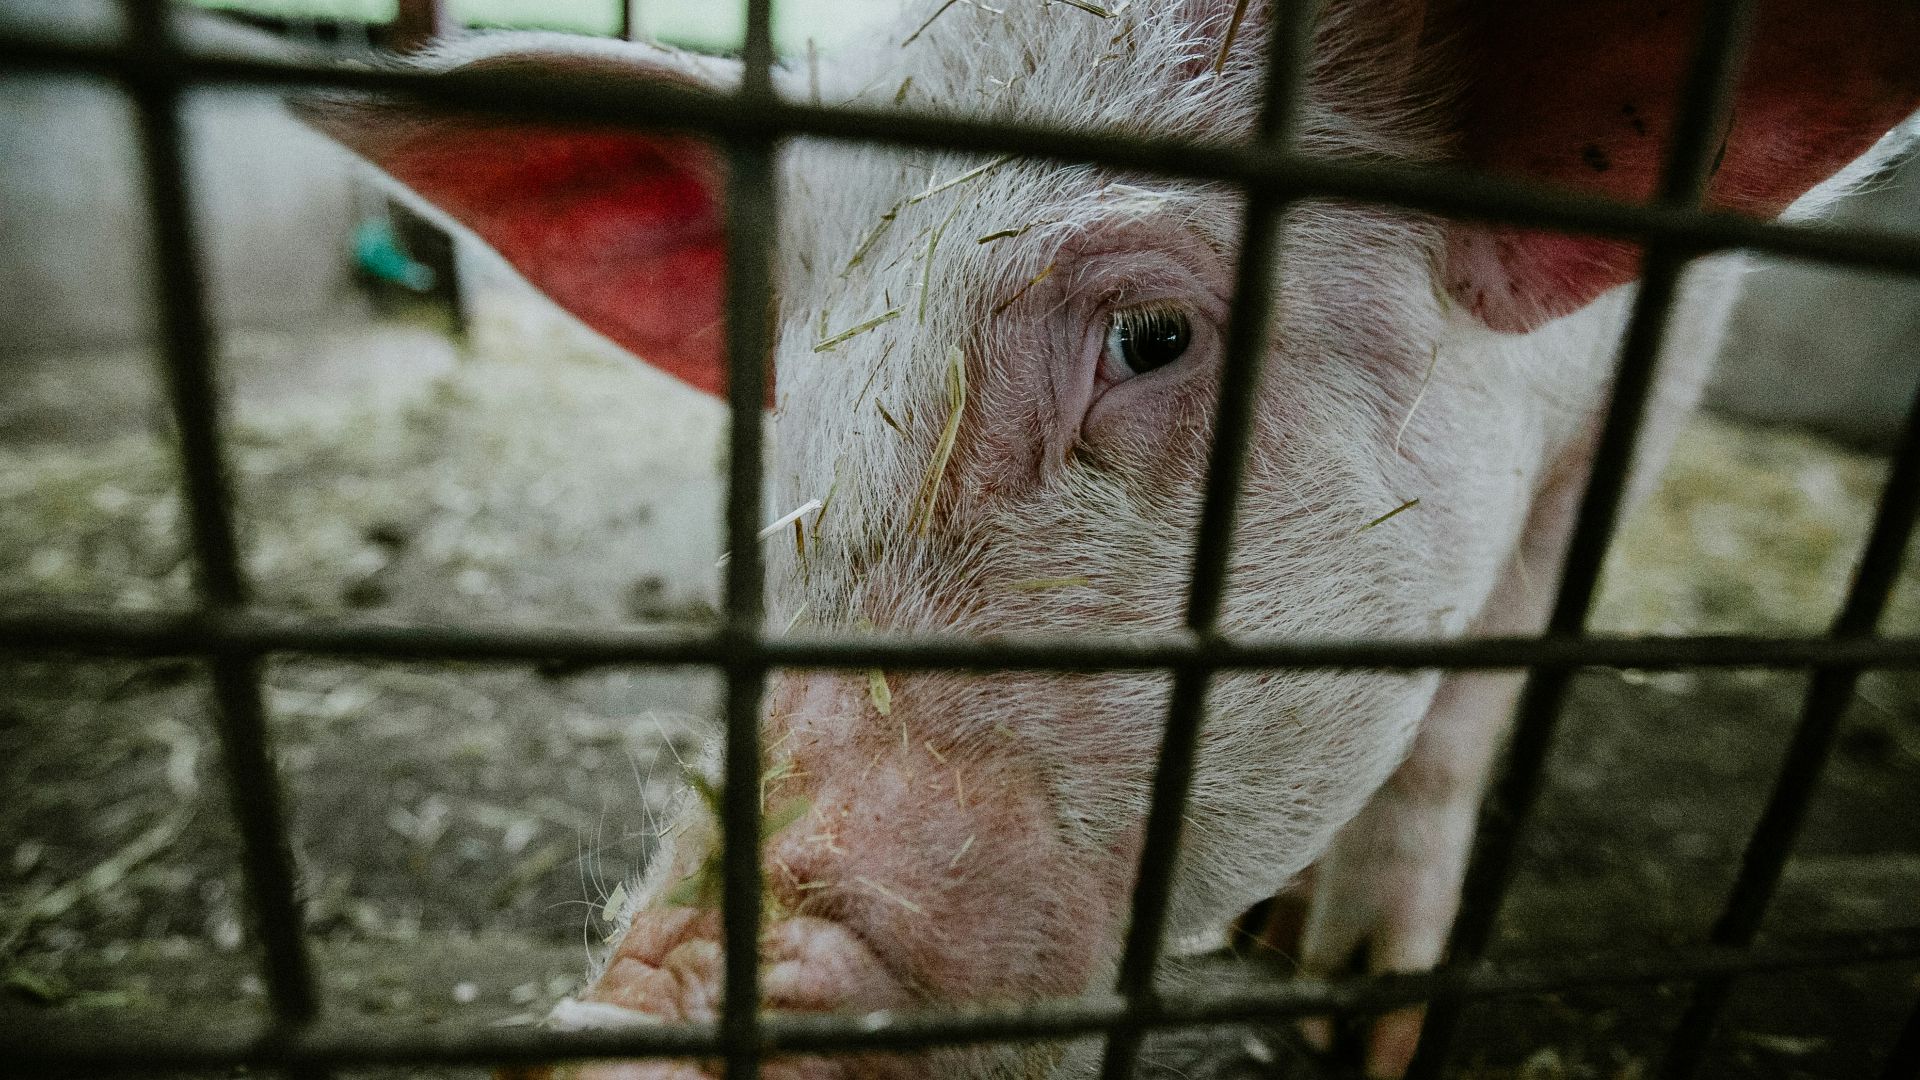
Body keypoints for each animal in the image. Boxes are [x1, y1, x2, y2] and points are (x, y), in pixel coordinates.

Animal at [300, 1, 1920, 1076]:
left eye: (1151, 337)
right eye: (788, 392)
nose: (625, 1032)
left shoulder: (1649, 382)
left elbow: (1474, 693)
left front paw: (1358, 1016)